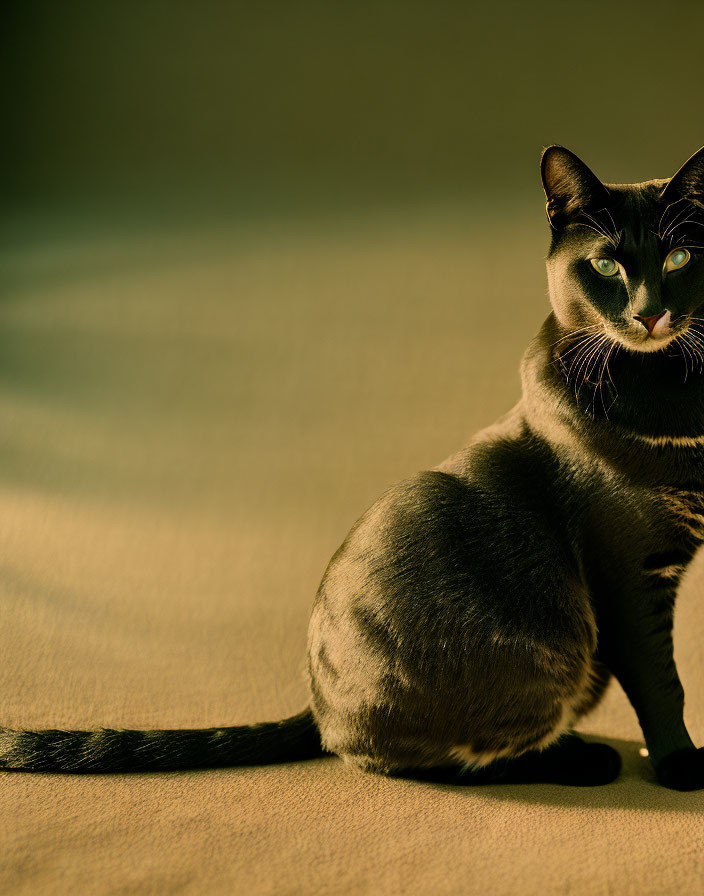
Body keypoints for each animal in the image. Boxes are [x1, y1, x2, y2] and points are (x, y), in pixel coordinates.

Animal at [4, 142, 704, 792]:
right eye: (606, 264)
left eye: (680, 258)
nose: (648, 312)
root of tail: (317, 707)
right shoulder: (627, 573)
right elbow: (662, 682)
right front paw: (680, 765)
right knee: (440, 757)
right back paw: (582, 758)